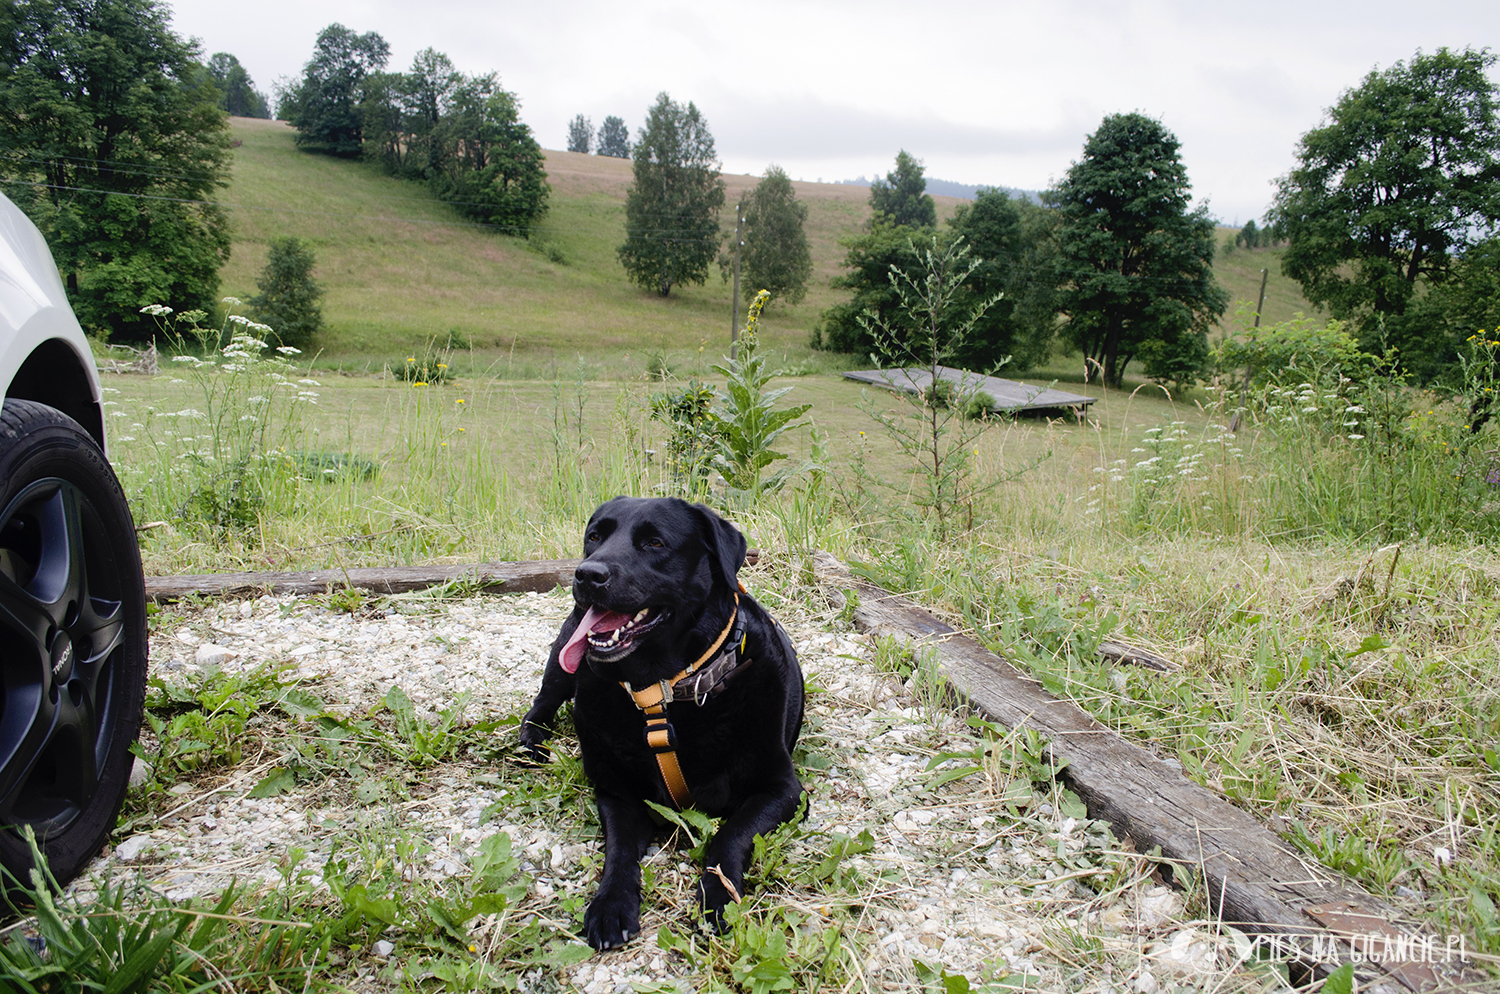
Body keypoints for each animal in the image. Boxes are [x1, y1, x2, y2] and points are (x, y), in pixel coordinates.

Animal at [528, 497, 810, 947]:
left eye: (655, 543)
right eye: (595, 536)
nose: (587, 573)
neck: (660, 692)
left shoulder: (783, 790)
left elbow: (730, 835)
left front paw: (718, 897)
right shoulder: (616, 792)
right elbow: (620, 851)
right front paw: (611, 904)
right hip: (565, 653)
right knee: (543, 700)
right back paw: (532, 741)